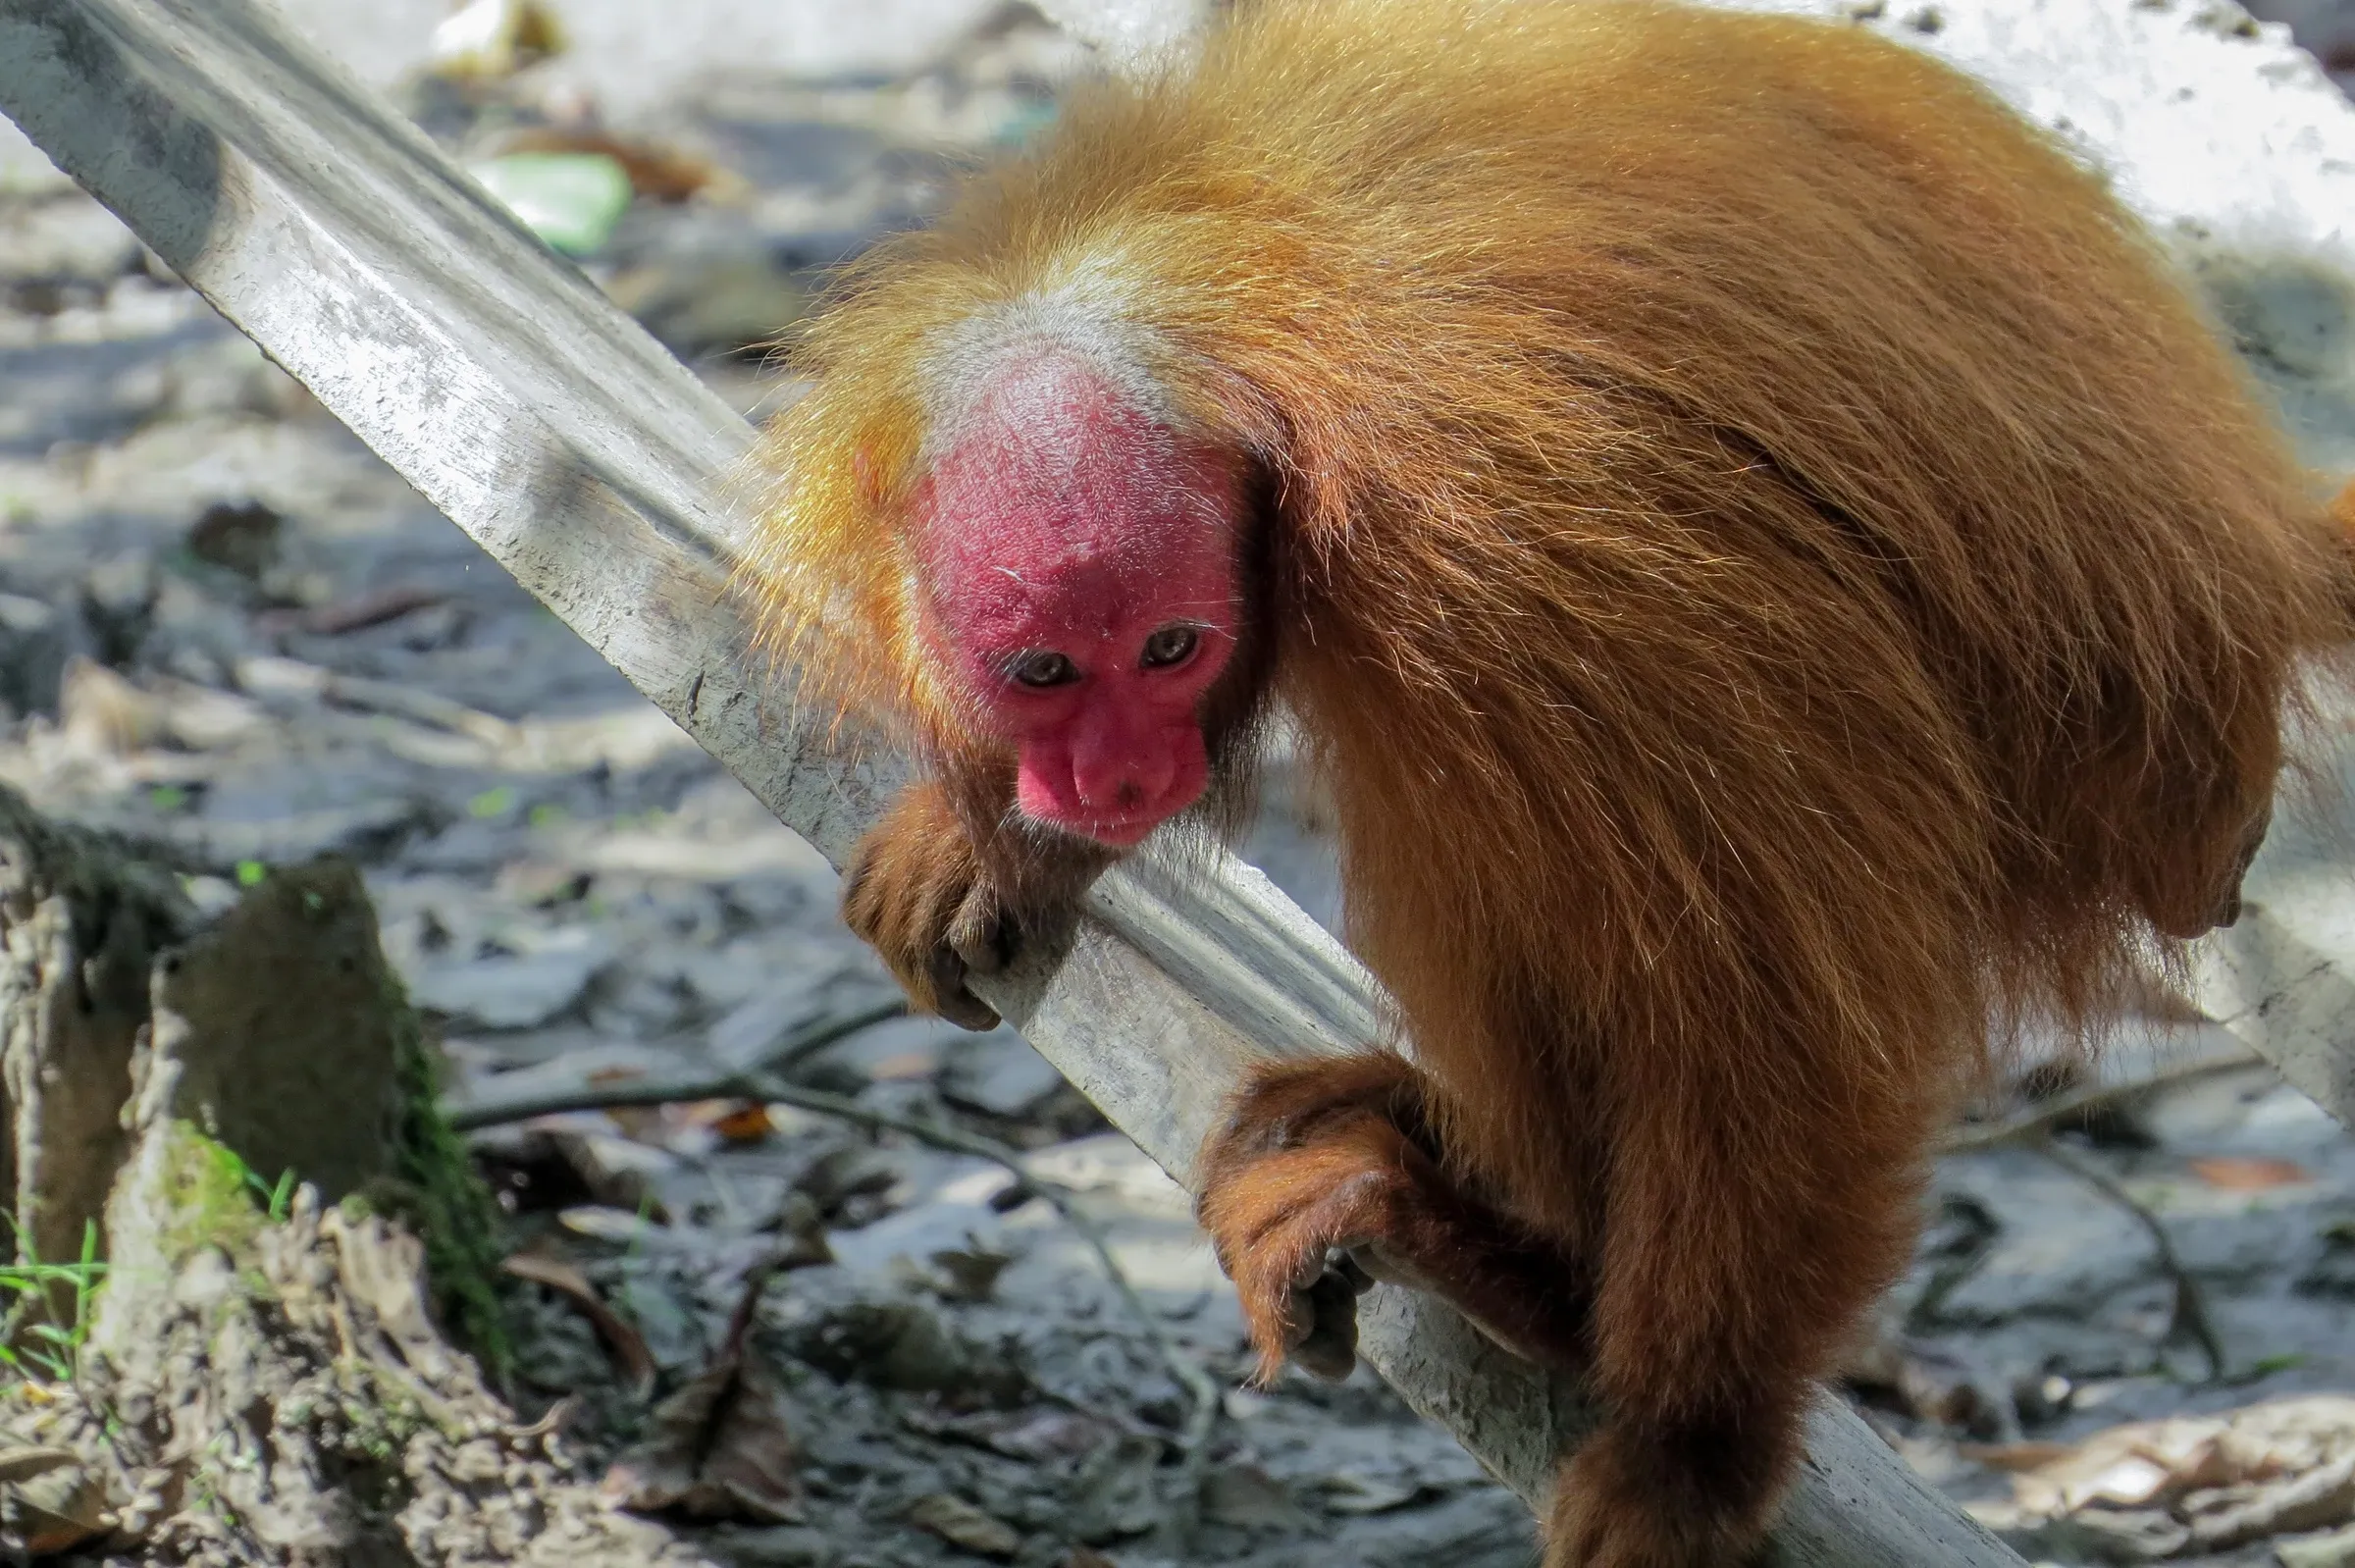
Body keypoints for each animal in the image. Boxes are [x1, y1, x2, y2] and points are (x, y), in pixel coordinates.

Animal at [742, 1, 2353, 1562]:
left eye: (1170, 646)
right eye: (1044, 673)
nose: (1121, 777)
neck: (1243, 338)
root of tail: (2262, 560)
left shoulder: (1503, 544)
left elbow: (1765, 997)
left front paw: (1696, 1451)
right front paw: (993, 837)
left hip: (2118, 787)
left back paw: (1526, 1271)